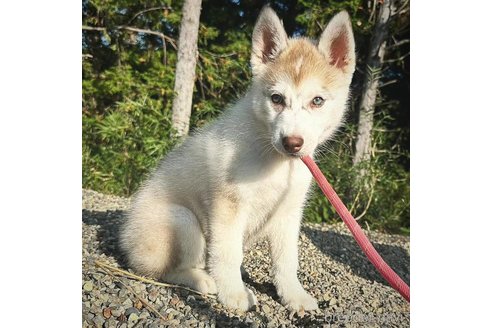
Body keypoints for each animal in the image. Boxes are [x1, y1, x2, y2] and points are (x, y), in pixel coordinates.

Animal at [121, 6, 356, 312]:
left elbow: (287, 261)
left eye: (317, 101)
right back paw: (202, 280)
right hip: (182, 220)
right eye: (276, 99)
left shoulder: (288, 213)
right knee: (161, 270)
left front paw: (294, 296)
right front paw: (234, 294)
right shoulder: (228, 206)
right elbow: (228, 254)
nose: (292, 143)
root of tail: (126, 240)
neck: (276, 163)